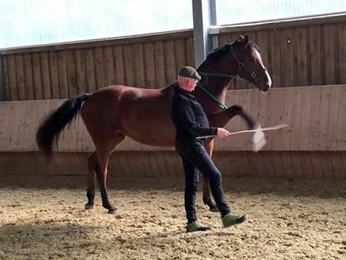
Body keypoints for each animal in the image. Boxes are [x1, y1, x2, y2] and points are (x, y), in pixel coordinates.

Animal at [36, 35, 272, 213]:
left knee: (91, 161)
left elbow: (207, 169)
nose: (267, 83)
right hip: (105, 141)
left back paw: (90, 200)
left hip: (112, 139)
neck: (197, 92)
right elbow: (238, 108)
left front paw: (211, 203)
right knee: (102, 169)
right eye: (252, 58)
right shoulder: (212, 123)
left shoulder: (207, 139)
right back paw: (108, 205)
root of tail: (90, 96)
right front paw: (257, 134)